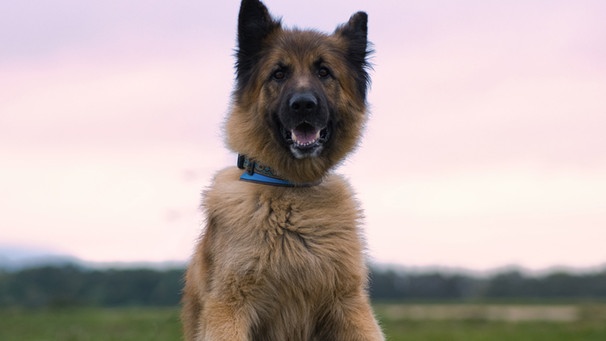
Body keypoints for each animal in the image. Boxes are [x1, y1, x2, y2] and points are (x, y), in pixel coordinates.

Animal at [180, 0, 388, 338]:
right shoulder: (228, 305)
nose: (303, 104)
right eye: (278, 73)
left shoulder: (349, 304)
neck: (291, 191)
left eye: (323, 71)